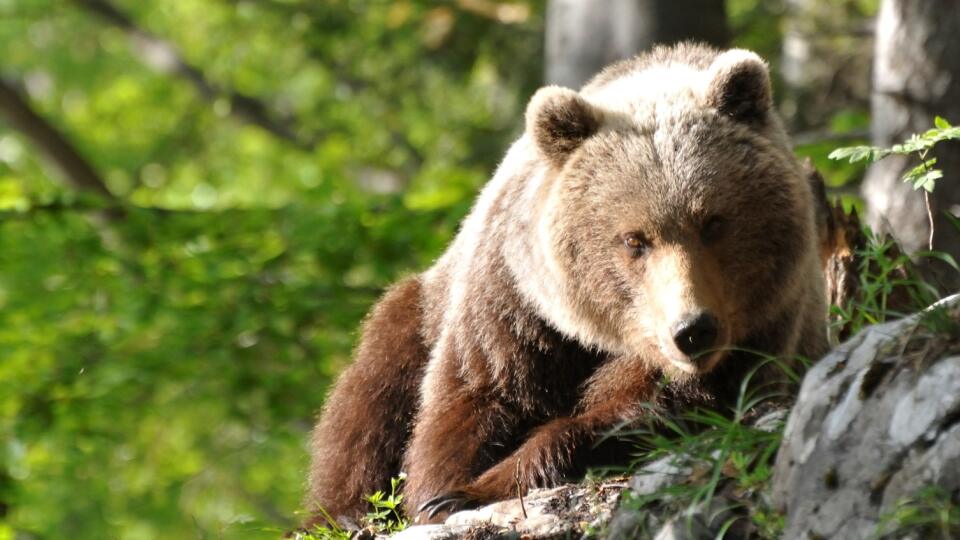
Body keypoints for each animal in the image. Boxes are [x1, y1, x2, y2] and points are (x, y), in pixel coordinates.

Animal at [306, 43, 824, 528]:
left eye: (713, 222)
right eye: (634, 240)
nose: (693, 329)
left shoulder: (756, 330)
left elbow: (643, 409)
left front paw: (477, 487)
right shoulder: (516, 302)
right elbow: (475, 393)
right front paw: (441, 492)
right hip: (422, 309)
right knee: (370, 398)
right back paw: (344, 513)